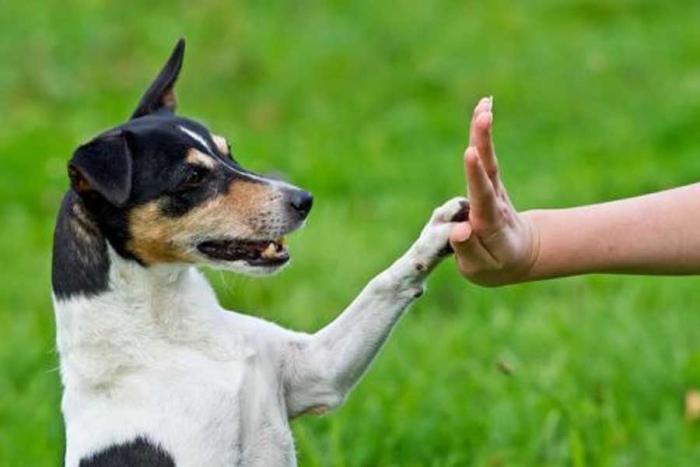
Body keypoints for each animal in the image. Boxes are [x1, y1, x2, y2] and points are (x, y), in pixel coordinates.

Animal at [52, 38, 468, 466]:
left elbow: (382, 284)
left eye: (228, 151)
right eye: (192, 177)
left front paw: (440, 231)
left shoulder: (318, 370)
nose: (304, 200)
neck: (175, 333)